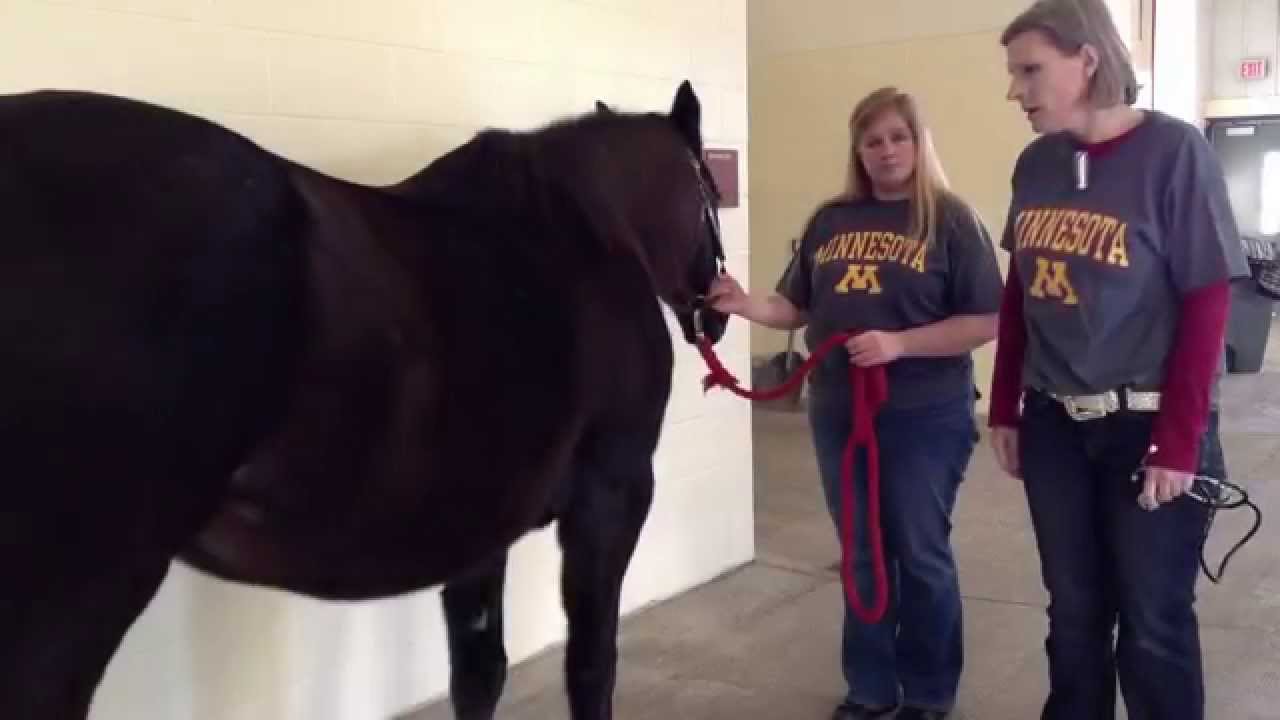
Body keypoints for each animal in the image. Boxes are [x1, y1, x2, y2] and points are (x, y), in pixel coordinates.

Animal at [0, 79, 729, 719]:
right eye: (711, 193)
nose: (718, 312)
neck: (584, 232)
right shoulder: (610, 498)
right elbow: (590, 666)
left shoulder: (479, 520)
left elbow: (479, 672)